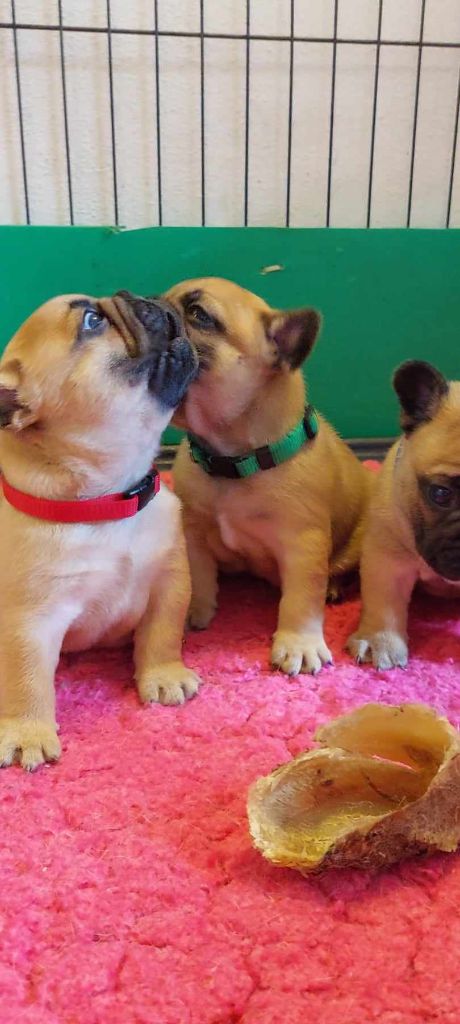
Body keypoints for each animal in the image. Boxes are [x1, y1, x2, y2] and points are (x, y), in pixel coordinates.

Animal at [0, 290, 200, 770]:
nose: (140, 297)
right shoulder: (30, 621)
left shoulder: (170, 581)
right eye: (92, 321)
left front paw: (163, 676)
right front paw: (28, 731)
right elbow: (26, 678)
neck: (107, 500)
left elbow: (162, 634)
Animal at [163, 277, 373, 675]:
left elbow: (300, 598)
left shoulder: (302, 545)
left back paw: (334, 587)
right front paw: (196, 611)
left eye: (199, 314)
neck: (232, 460)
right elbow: (199, 575)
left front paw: (298, 643)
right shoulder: (193, 531)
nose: (145, 305)